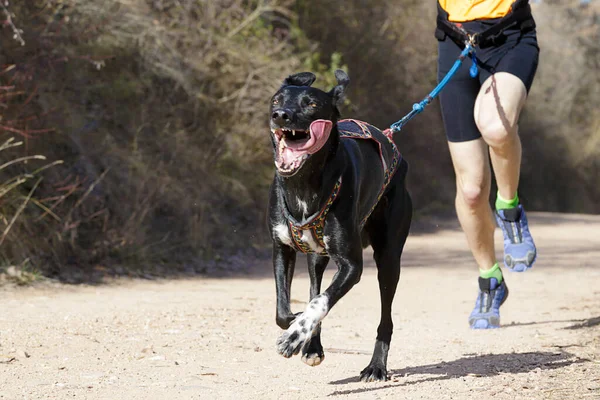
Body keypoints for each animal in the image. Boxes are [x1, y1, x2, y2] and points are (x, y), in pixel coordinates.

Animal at [268, 69, 412, 382]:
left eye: (311, 104)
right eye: (276, 99)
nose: (281, 115)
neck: (303, 184)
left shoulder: (351, 266)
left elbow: (320, 303)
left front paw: (295, 335)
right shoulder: (282, 248)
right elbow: (285, 310)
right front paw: (299, 327)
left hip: (389, 259)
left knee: (385, 317)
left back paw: (376, 366)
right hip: (316, 258)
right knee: (315, 285)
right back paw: (313, 346)